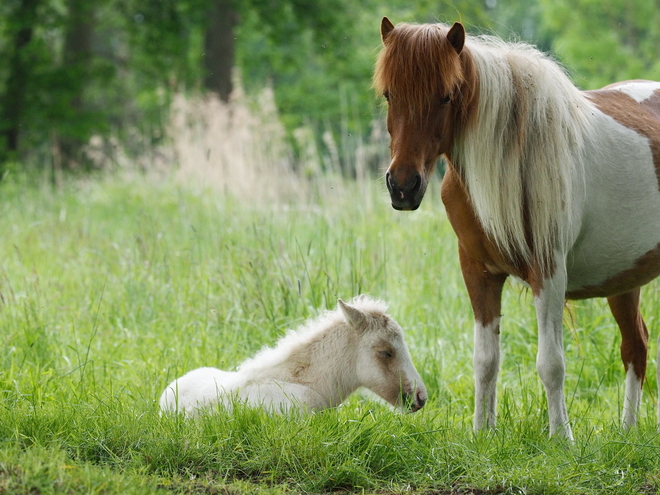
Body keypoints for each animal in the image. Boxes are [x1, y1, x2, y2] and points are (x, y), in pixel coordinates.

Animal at [374, 17, 660, 440]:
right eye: (390, 95)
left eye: (446, 96)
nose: (403, 186)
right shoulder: (478, 273)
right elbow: (485, 359)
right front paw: (482, 432)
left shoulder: (549, 272)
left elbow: (551, 363)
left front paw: (561, 438)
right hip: (624, 279)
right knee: (635, 346)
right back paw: (627, 432)